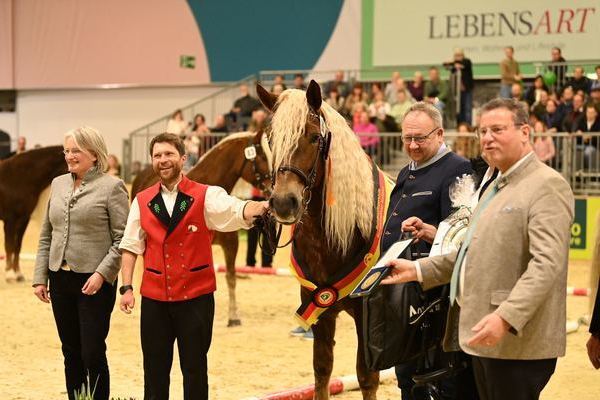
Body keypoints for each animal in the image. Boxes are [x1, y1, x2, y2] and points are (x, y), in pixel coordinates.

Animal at [0, 146, 67, 282]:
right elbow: (9, 245)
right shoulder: (10, 219)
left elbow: (17, 246)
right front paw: (9, 274)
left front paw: (18, 274)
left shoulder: (23, 219)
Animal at [255, 82, 386, 400]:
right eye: (272, 139)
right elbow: (322, 369)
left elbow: (367, 377)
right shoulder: (319, 309)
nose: (284, 202)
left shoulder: (367, 315)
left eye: (315, 137)